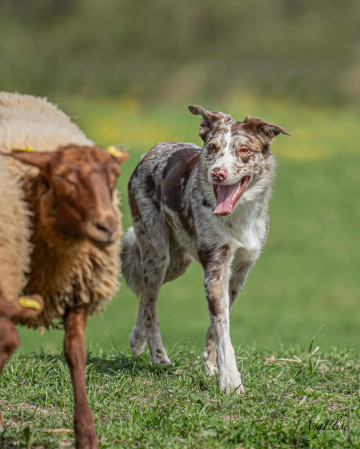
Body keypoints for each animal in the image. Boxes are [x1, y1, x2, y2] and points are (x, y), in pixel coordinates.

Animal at [0, 92, 129, 448]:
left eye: (114, 174)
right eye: (61, 178)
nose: (107, 227)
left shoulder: (80, 291)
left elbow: (75, 353)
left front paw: (86, 433)